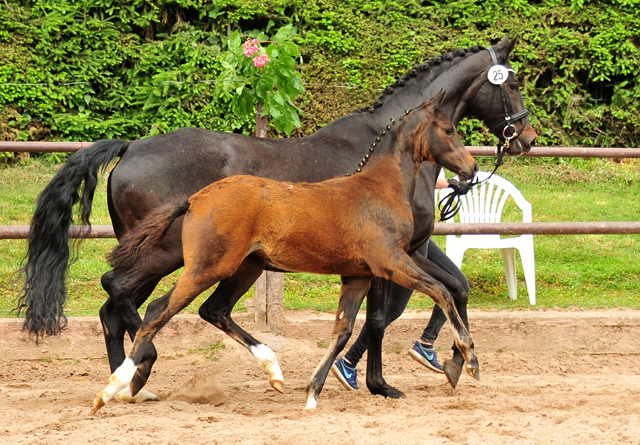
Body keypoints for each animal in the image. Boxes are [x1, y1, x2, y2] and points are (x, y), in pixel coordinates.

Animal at [17, 36, 536, 400]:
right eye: (511, 84)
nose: (527, 138)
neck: (390, 160)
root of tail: (130, 147)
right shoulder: (396, 254)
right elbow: (384, 316)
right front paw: (373, 379)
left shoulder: (404, 252)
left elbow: (450, 291)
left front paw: (437, 363)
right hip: (171, 255)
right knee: (122, 295)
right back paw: (140, 370)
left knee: (116, 306)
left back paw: (129, 380)